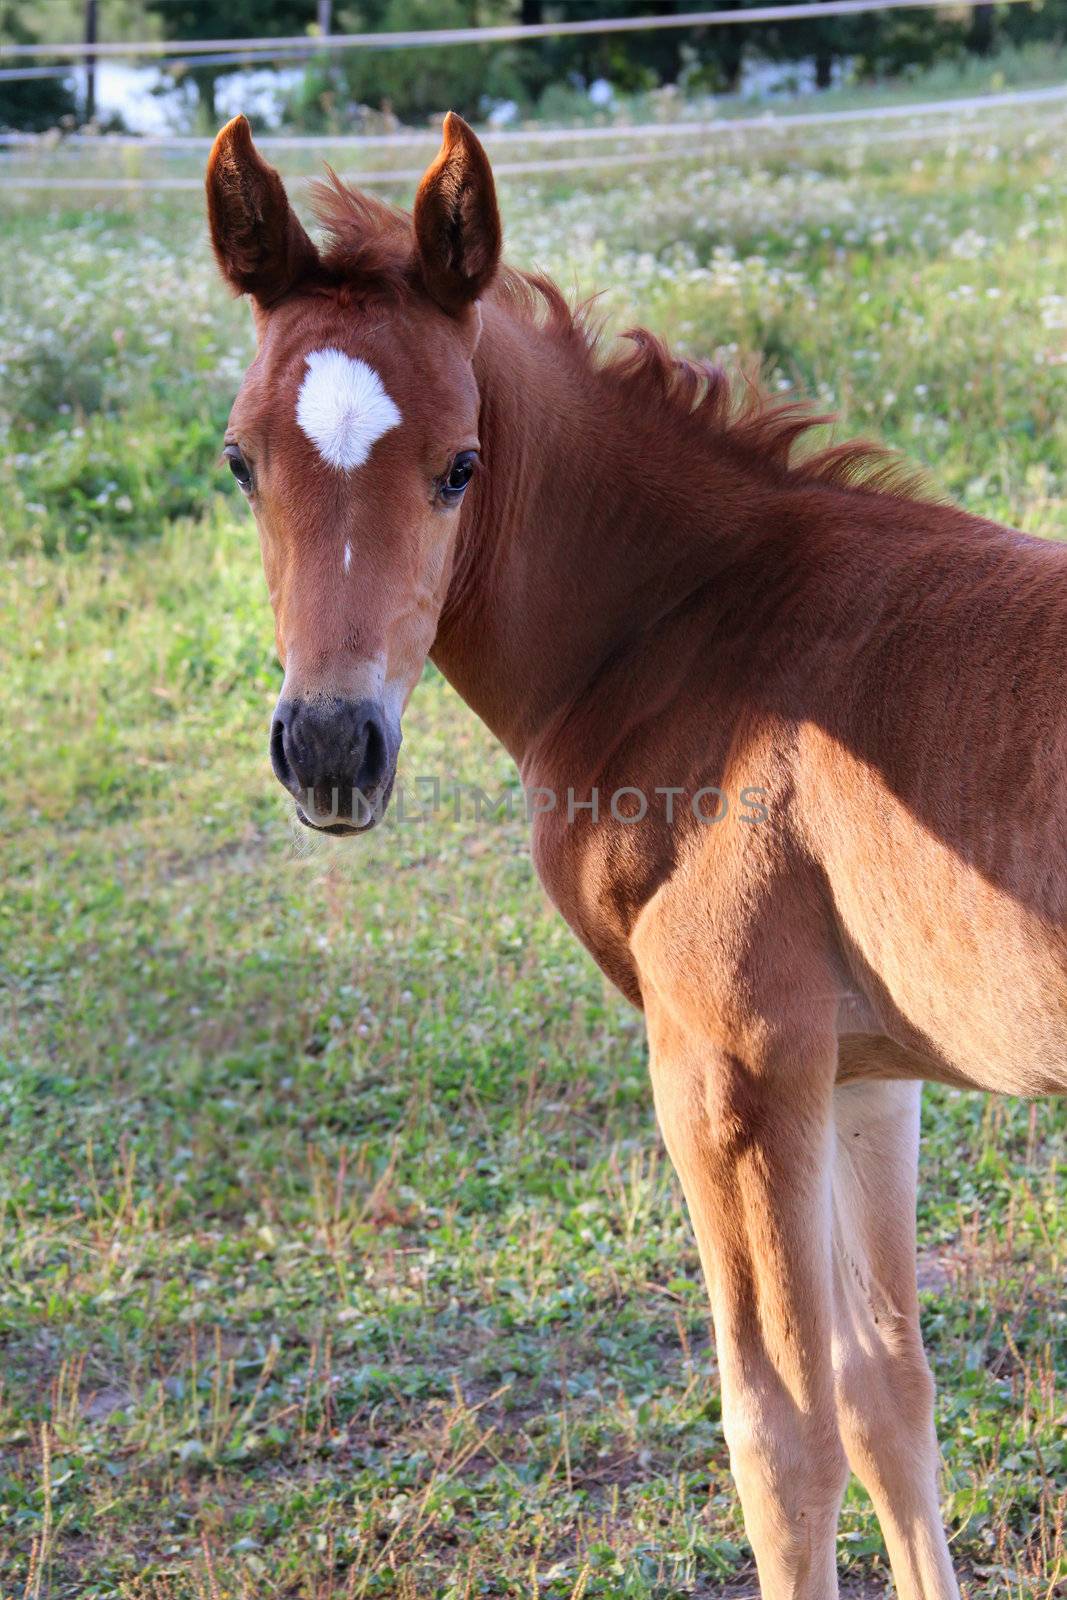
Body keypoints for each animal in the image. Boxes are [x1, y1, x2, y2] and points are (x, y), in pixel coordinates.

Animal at [204, 116, 1062, 1600]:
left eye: (460, 462)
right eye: (243, 461)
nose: (328, 745)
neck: (692, 630)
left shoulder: (729, 1067)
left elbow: (780, 1440)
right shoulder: (860, 1072)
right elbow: (887, 1397)